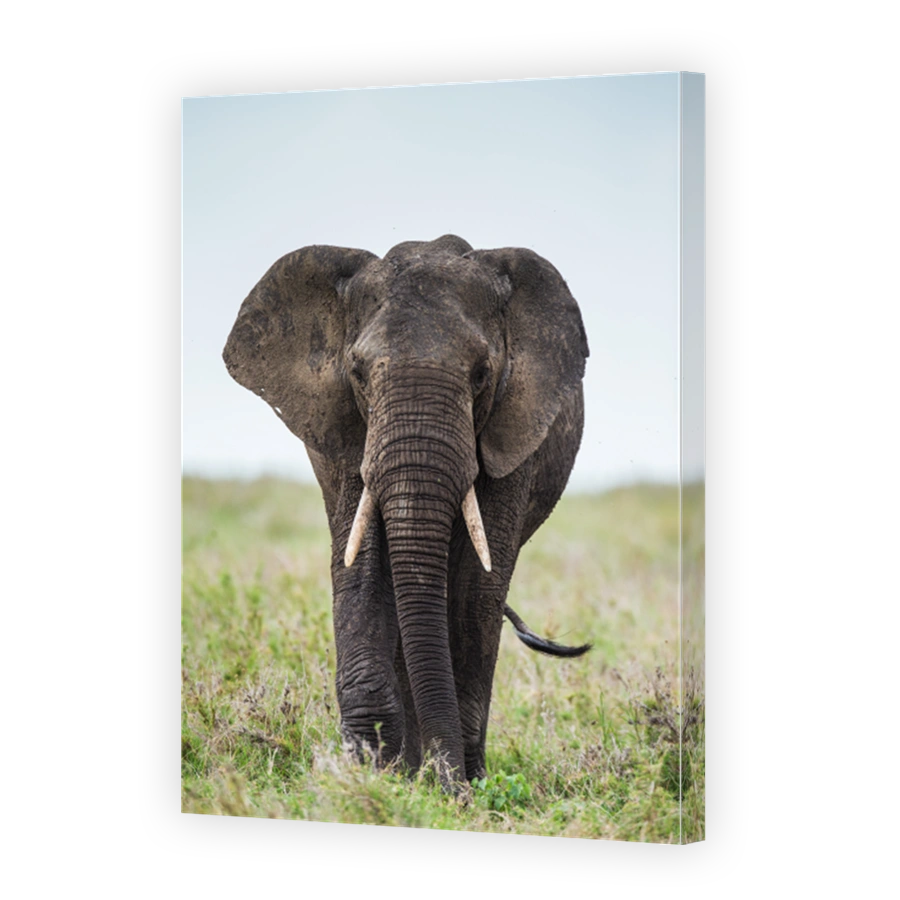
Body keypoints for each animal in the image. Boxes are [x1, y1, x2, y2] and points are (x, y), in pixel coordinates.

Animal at [223, 234, 590, 792]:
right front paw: (370, 772)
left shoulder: (514, 434)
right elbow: (360, 565)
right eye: (356, 371)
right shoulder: (347, 430)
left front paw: (457, 784)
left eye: (482, 374)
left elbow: (478, 586)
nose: (452, 786)